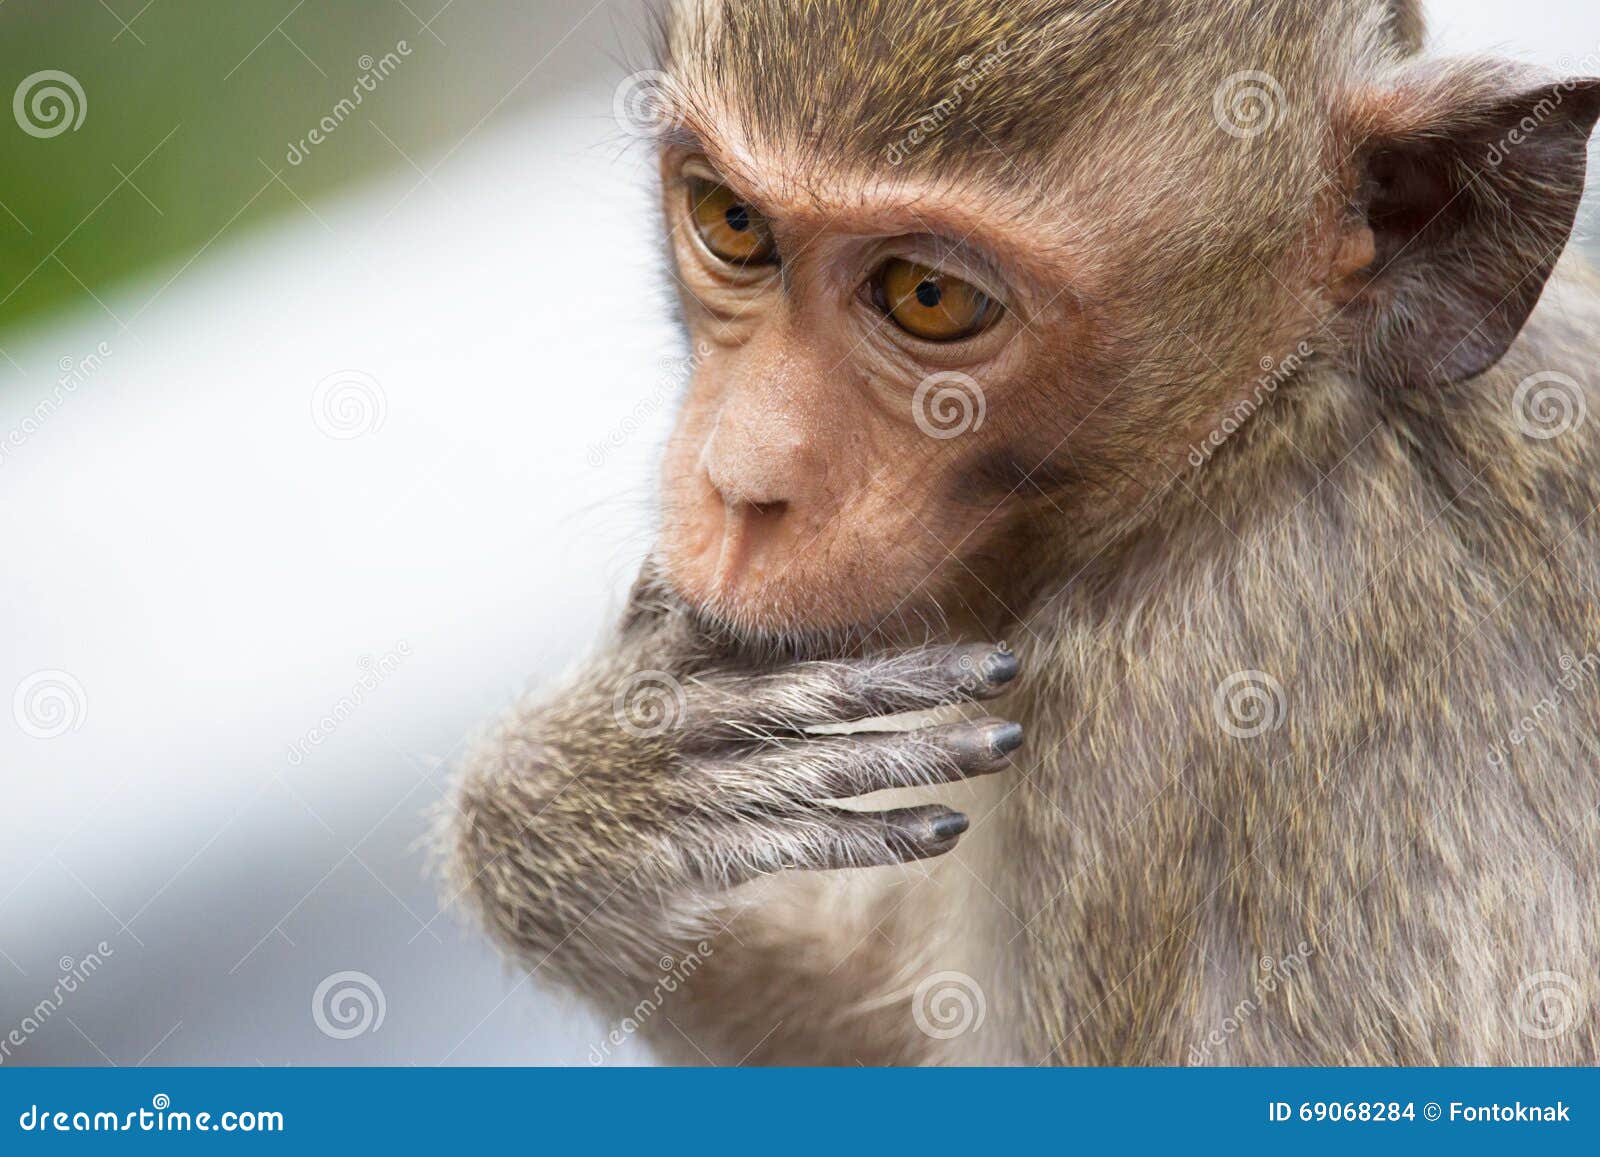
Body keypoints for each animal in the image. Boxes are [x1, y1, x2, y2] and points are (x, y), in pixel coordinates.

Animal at [444, 0, 1600, 1068]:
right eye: (729, 219)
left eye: (928, 294)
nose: (738, 483)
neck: (1255, 435)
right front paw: (577, 809)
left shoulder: (1180, 710)